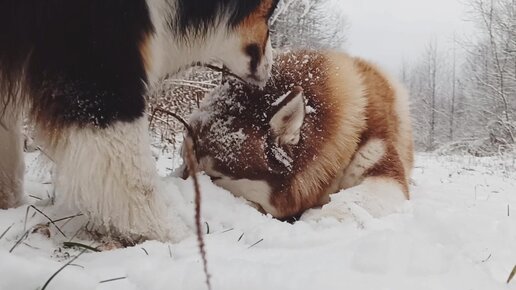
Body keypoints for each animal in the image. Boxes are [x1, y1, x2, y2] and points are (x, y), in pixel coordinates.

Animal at [0, 0, 280, 241]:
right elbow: (137, 175)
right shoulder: (98, 62)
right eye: (272, 8)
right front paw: (173, 235)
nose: (271, 65)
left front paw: (9, 204)